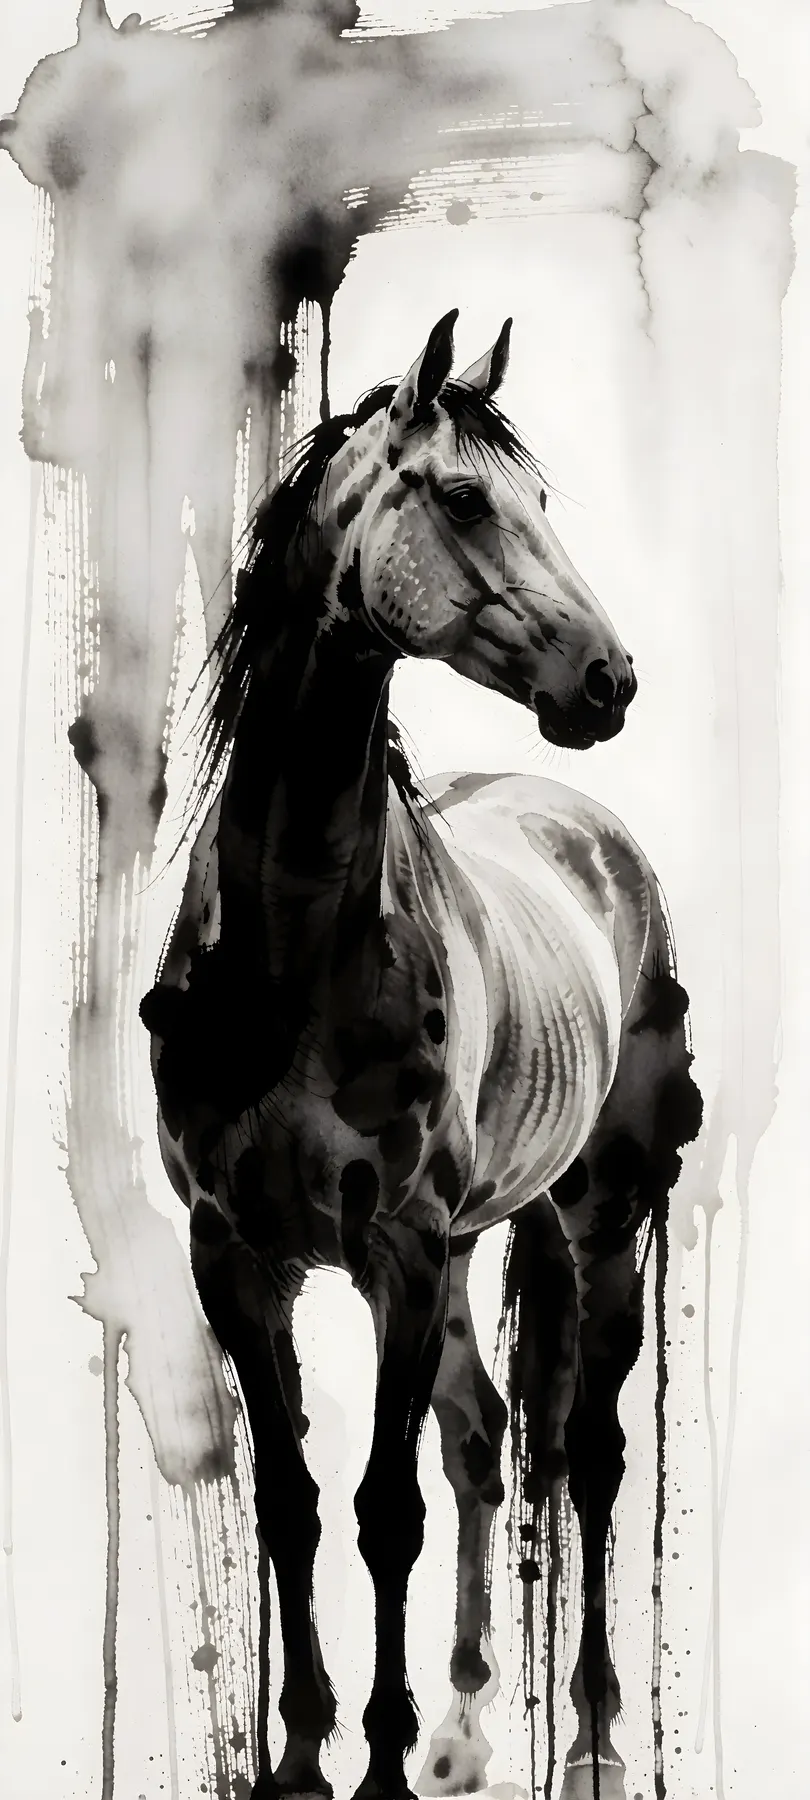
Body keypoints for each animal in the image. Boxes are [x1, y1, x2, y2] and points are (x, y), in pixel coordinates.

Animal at [140, 310, 702, 1800]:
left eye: (542, 499)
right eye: (460, 498)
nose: (610, 682)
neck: (293, 948)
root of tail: (587, 825)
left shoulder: (396, 1245)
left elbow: (380, 1510)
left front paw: (378, 1763)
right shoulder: (239, 1254)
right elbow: (292, 1504)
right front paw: (304, 1753)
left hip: (595, 1218)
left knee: (585, 1452)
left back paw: (590, 1732)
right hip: (463, 1250)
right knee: (483, 1437)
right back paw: (462, 1725)